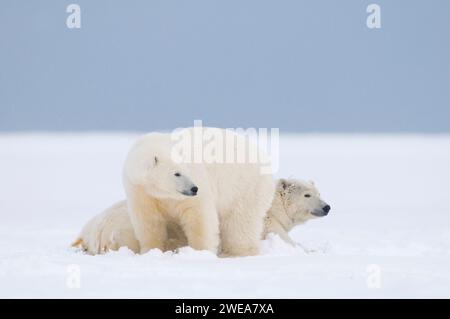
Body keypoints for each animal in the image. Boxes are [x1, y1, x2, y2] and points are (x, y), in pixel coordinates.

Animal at [72, 180, 328, 255]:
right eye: (307, 194)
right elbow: (283, 238)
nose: (327, 207)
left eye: (319, 192)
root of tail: (98, 232)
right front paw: (310, 250)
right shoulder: (264, 222)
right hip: (128, 231)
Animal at [122, 127, 274, 258]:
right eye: (177, 173)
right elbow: (149, 222)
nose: (194, 188)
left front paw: (200, 253)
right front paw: (150, 251)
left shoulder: (197, 183)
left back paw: (237, 252)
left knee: (240, 222)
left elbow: (199, 218)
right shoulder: (141, 191)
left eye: (187, 170)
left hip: (244, 187)